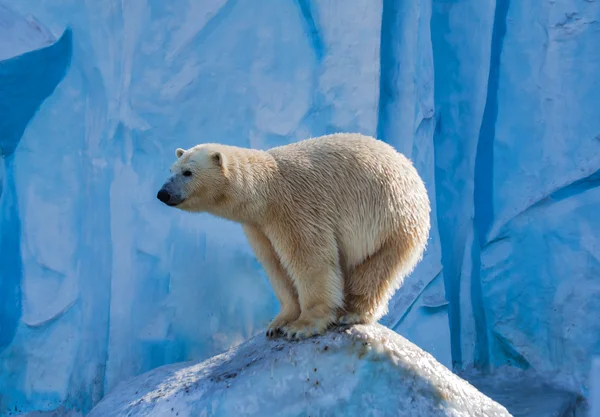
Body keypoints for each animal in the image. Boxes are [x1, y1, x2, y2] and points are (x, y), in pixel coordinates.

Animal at [157, 132, 428, 338]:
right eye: (171, 169)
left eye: (188, 172)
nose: (163, 193)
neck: (266, 190)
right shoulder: (258, 227)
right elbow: (276, 265)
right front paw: (278, 323)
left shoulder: (295, 209)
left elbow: (310, 260)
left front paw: (301, 327)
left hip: (392, 221)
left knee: (375, 269)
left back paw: (352, 313)